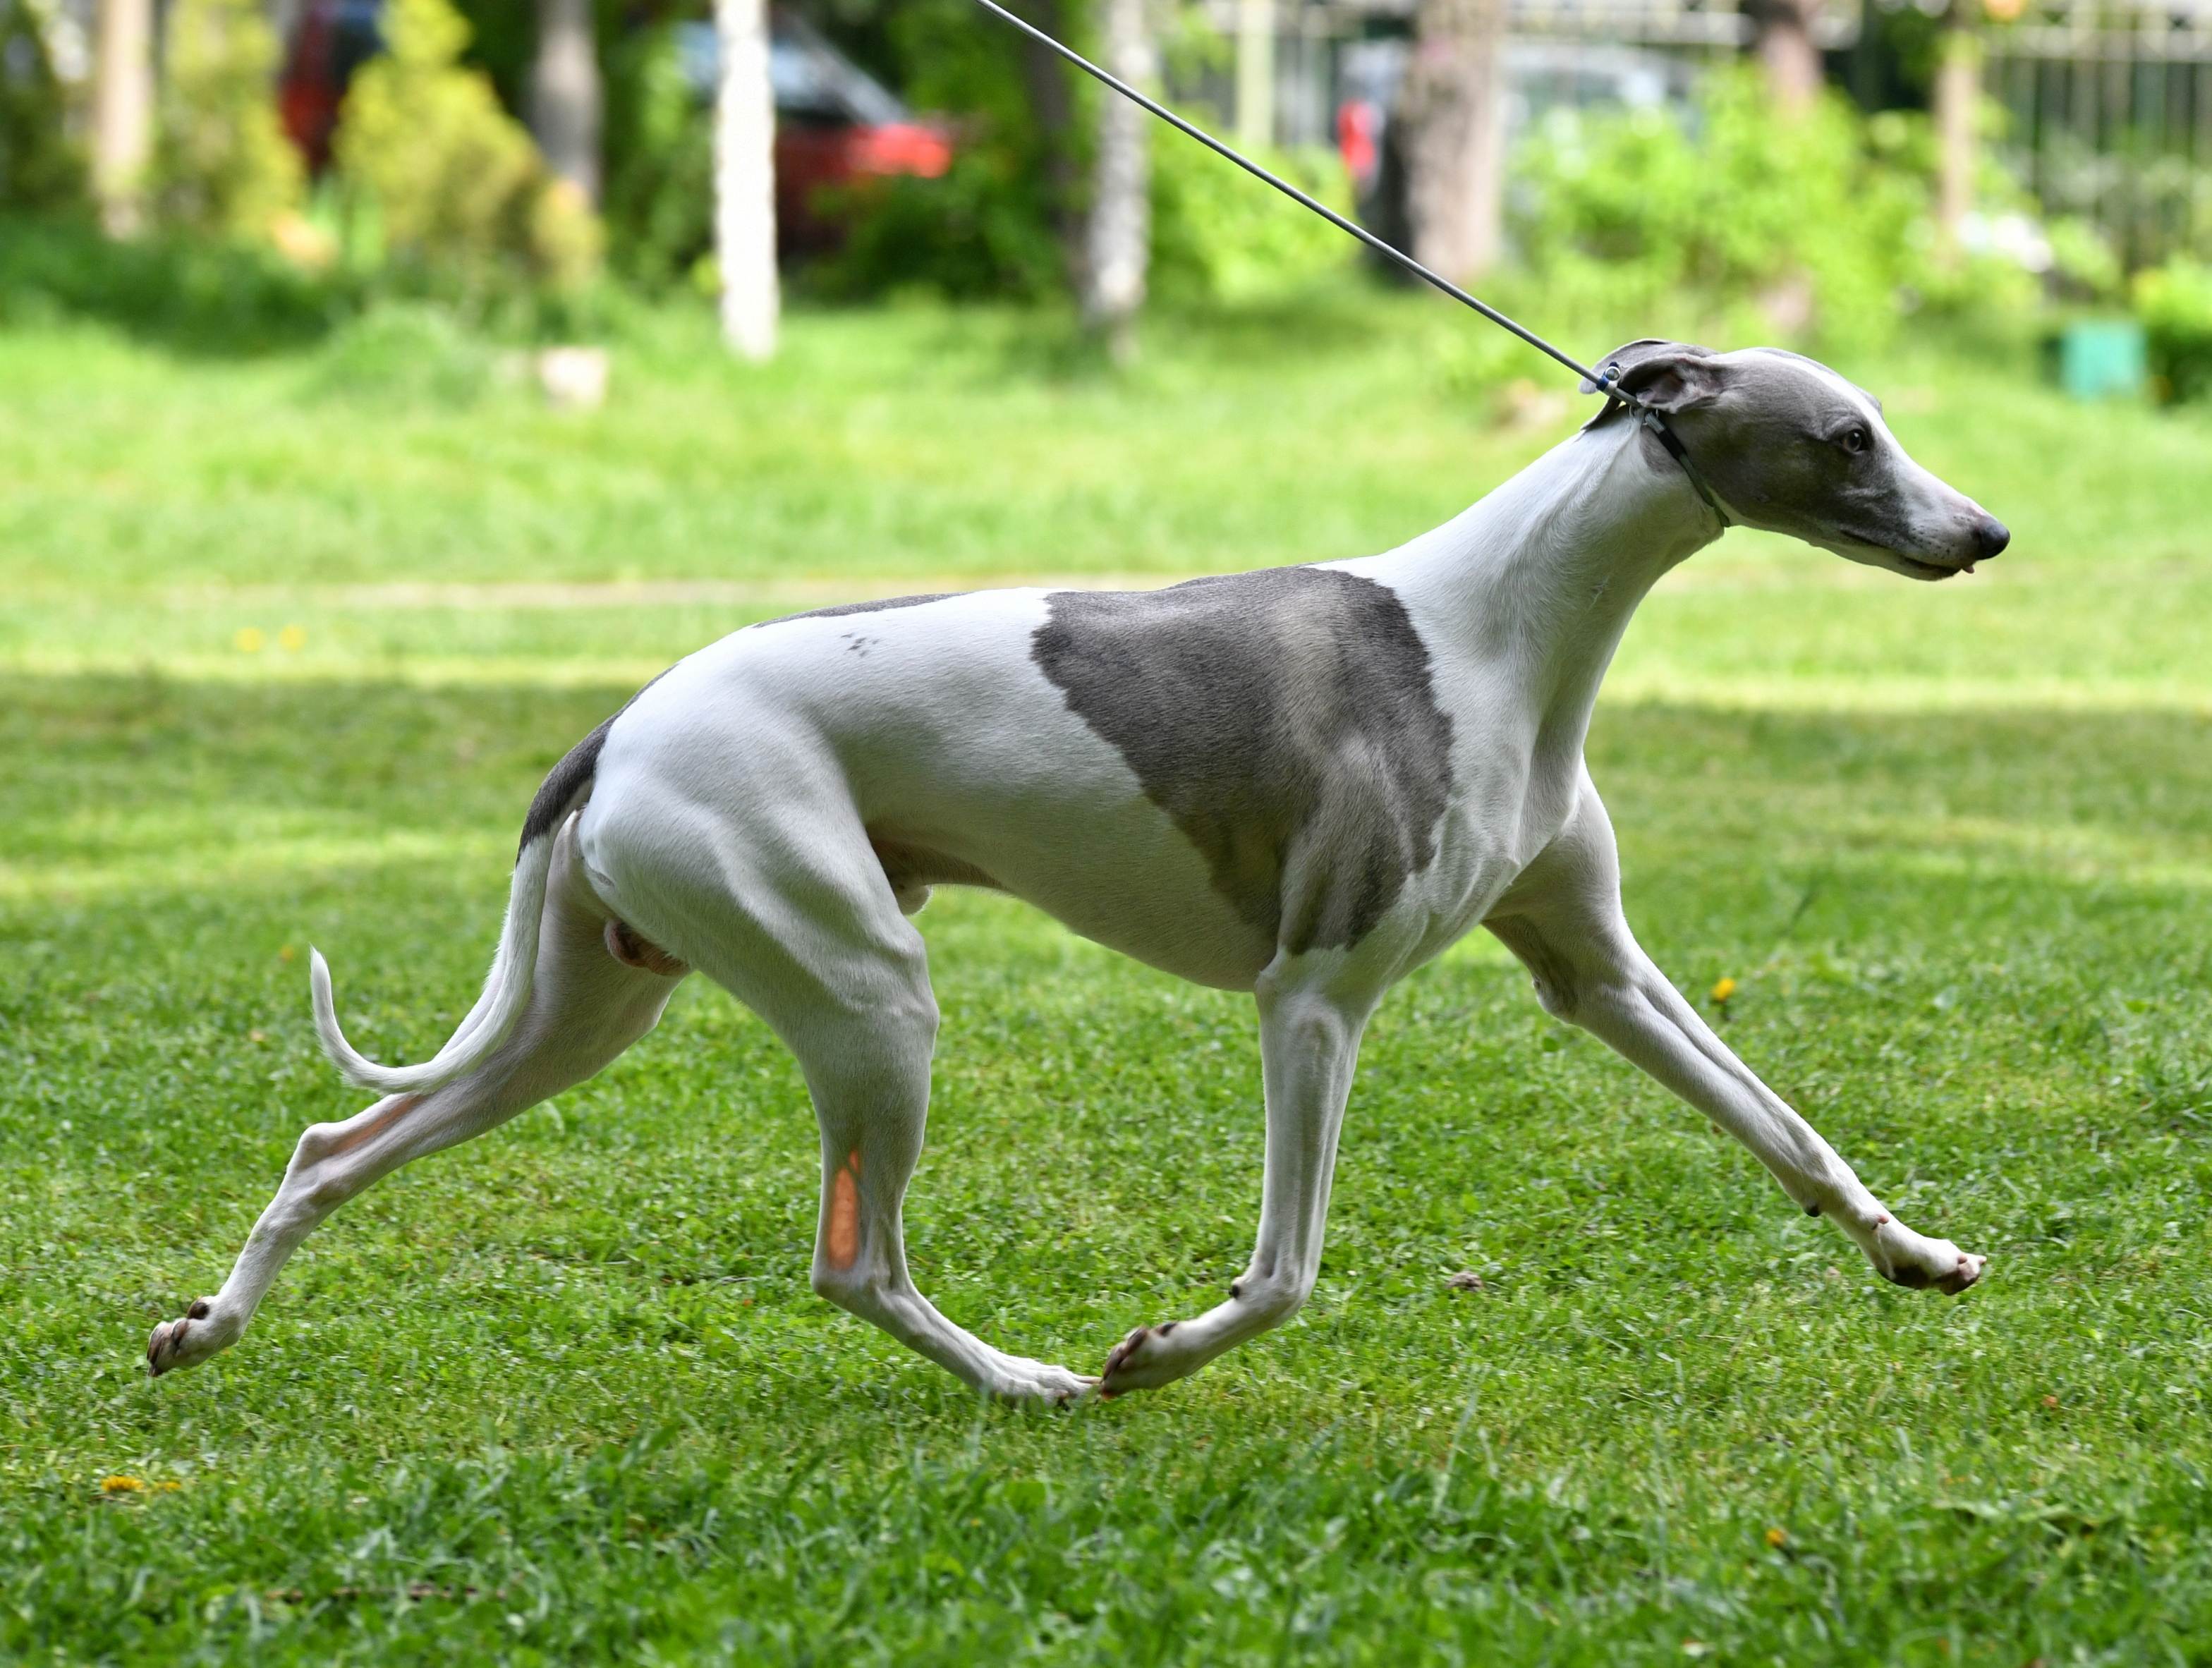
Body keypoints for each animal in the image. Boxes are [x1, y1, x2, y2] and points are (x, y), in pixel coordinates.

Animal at [151, 345, 2026, 1398]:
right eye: (1849, 437)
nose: (1988, 534)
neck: (1497, 627)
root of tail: (616, 724)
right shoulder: (1313, 997)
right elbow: (1284, 1270)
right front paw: (1157, 1352)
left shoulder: (1599, 972)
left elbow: (1788, 1131)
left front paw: (1917, 1251)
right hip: (865, 995)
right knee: (853, 1263)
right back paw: (1032, 1381)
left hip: (591, 1004)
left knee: (332, 1145)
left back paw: (203, 1329)